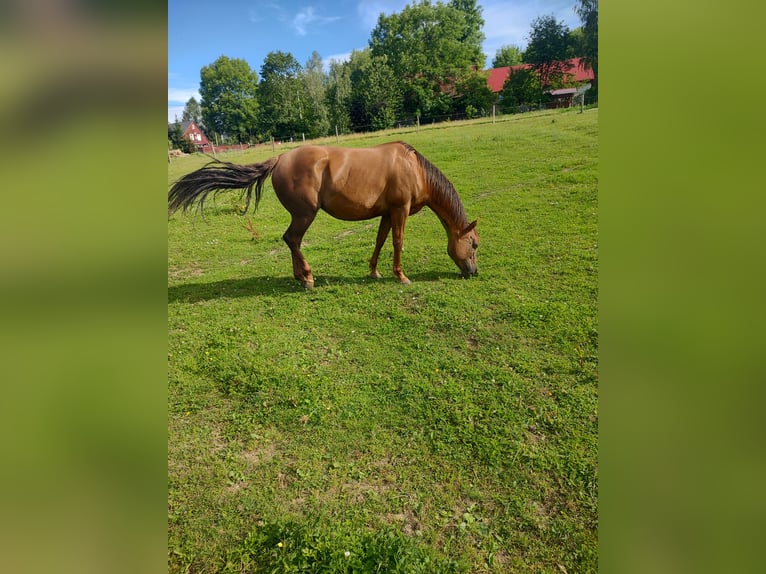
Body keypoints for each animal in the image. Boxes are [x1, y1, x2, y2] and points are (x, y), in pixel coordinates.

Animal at [169, 142, 480, 290]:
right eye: (474, 244)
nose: (473, 272)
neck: (414, 169)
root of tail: (279, 159)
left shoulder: (387, 213)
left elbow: (380, 241)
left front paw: (374, 271)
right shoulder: (400, 210)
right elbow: (397, 243)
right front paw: (401, 276)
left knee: (290, 241)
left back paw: (300, 277)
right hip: (305, 214)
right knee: (292, 239)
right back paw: (307, 278)